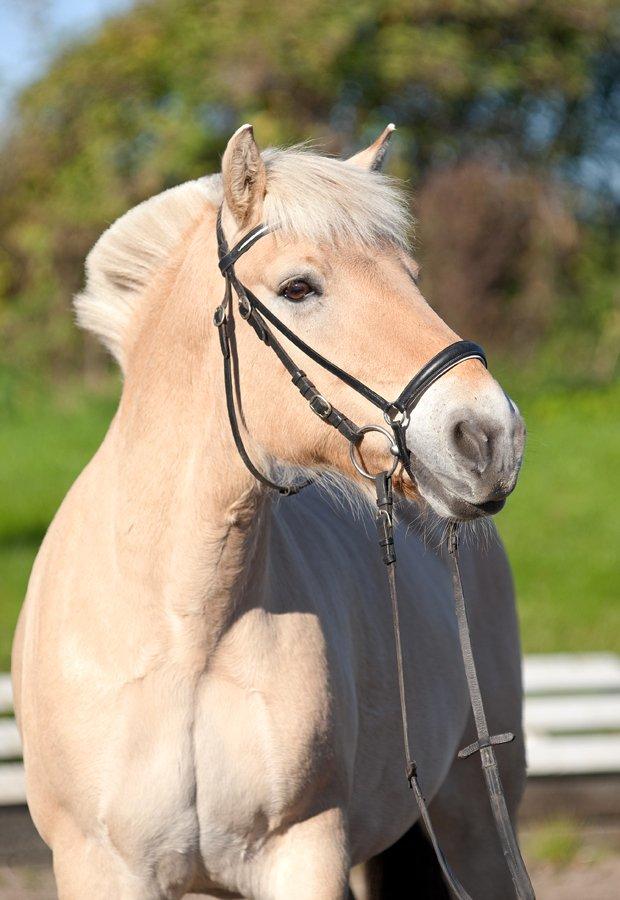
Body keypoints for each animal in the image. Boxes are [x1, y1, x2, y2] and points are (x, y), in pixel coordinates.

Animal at [12, 124, 527, 899]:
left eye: (411, 276)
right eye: (298, 288)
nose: (491, 437)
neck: (184, 632)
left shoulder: (303, 851)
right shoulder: (100, 865)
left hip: (477, 835)